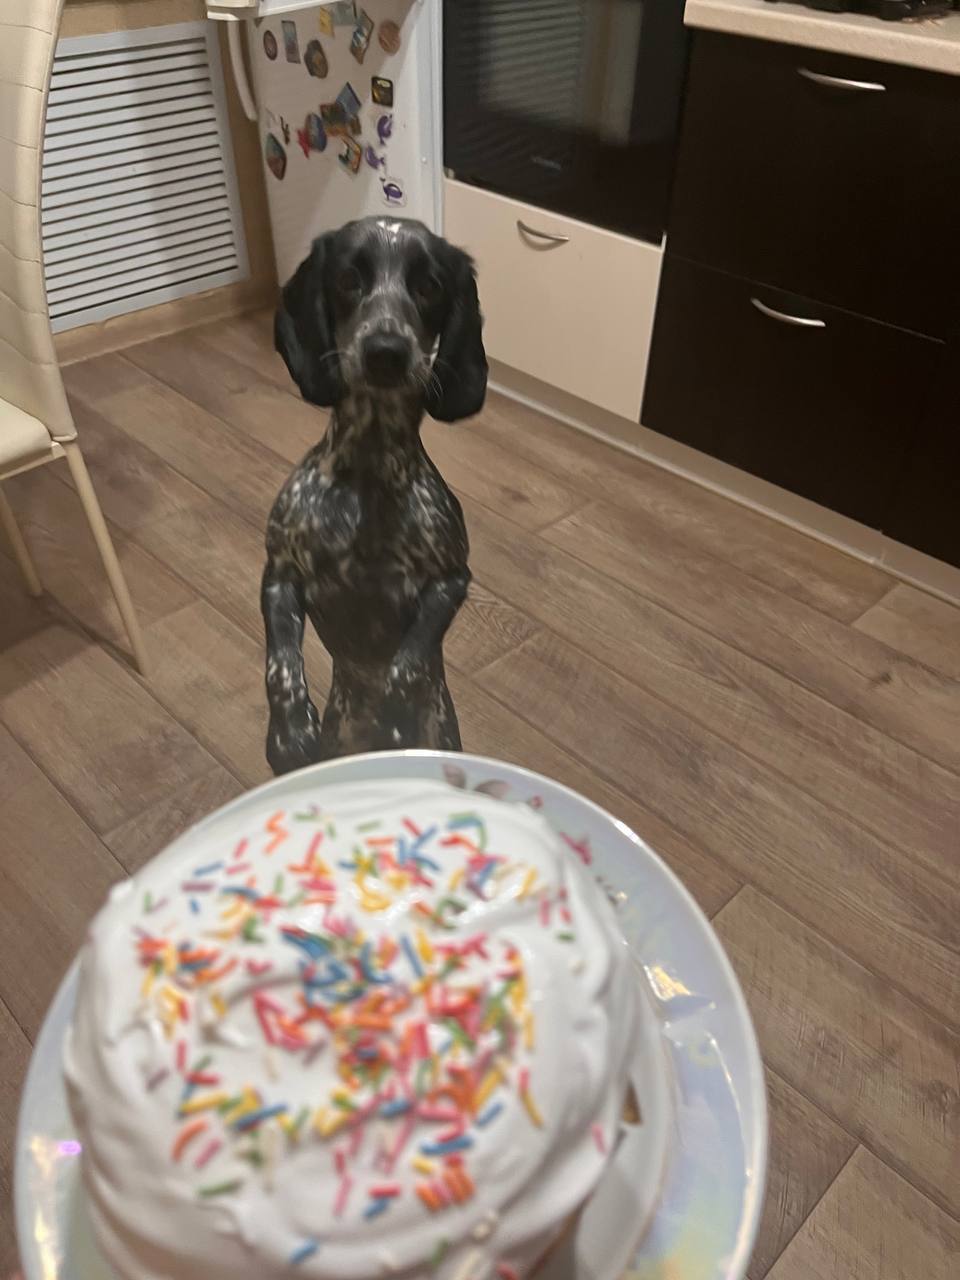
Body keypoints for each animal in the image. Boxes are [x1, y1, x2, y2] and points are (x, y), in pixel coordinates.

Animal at [263, 217, 487, 775]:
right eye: (348, 279)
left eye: (429, 286)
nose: (386, 350)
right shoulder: (279, 573)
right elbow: (281, 661)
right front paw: (289, 730)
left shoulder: (451, 581)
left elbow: (408, 665)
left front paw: (394, 714)